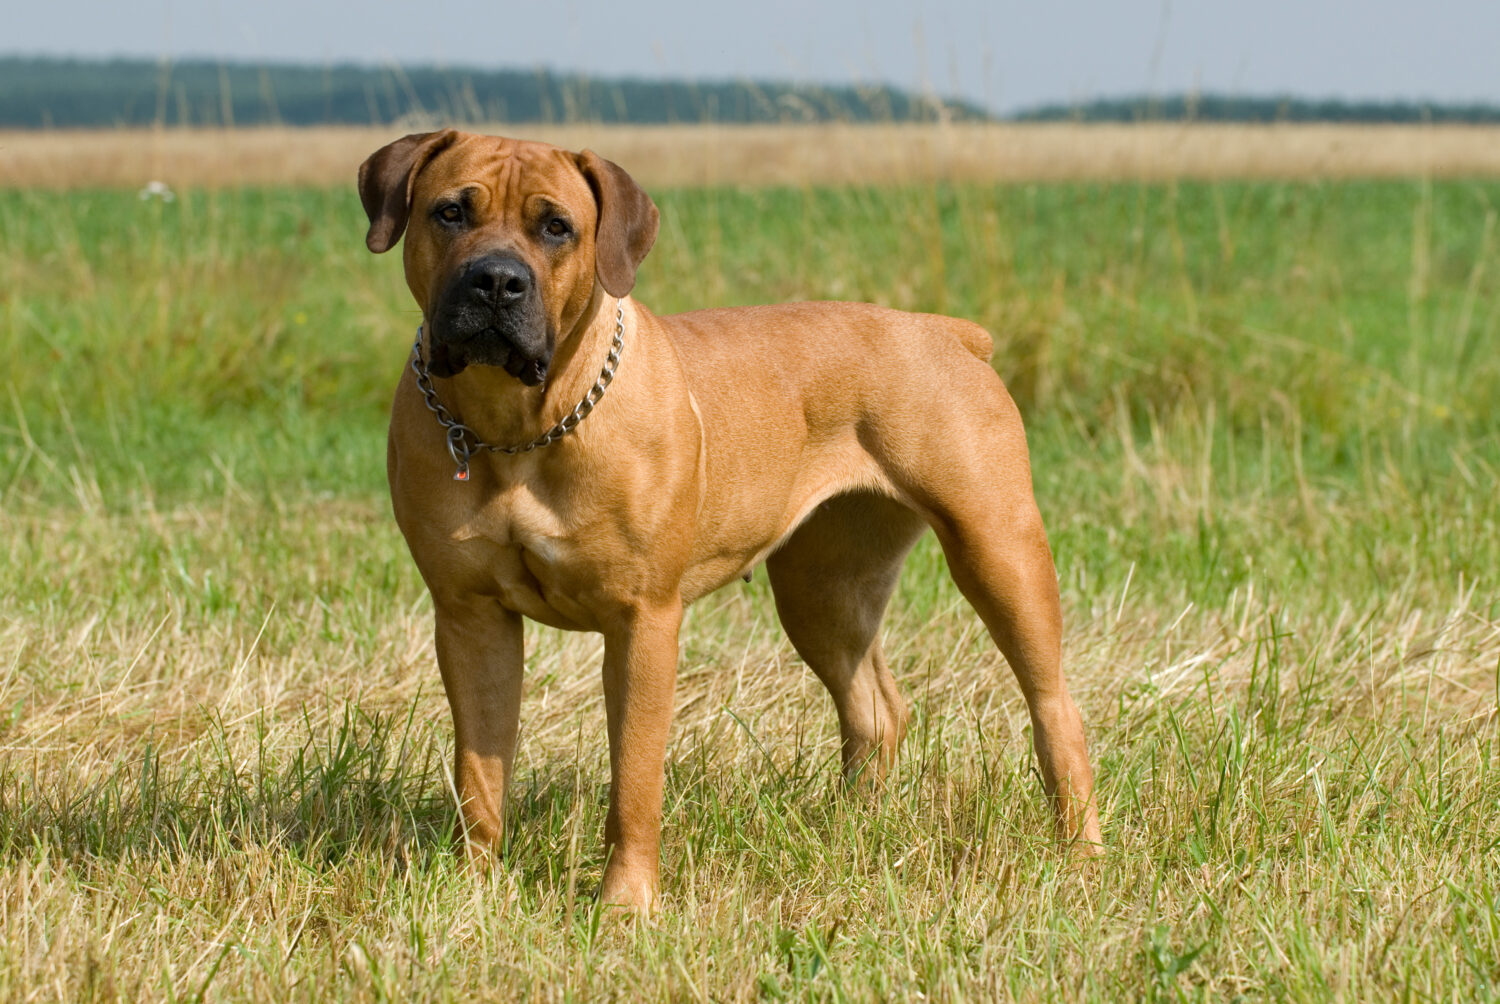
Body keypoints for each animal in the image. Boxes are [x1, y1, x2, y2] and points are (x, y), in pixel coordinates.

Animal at [354, 131, 1104, 906]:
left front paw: (625, 904)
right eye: (450, 211)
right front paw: (472, 887)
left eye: (556, 227)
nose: (497, 281)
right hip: (823, 590)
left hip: (997, 549)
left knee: (1055, 708)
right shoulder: (470, 616)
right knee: (873, 708)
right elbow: (480, 770)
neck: (515, 429)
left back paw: (1079, 853)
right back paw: (851, 830)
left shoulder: (643, 620)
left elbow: (634, 779)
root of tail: (947, 332)